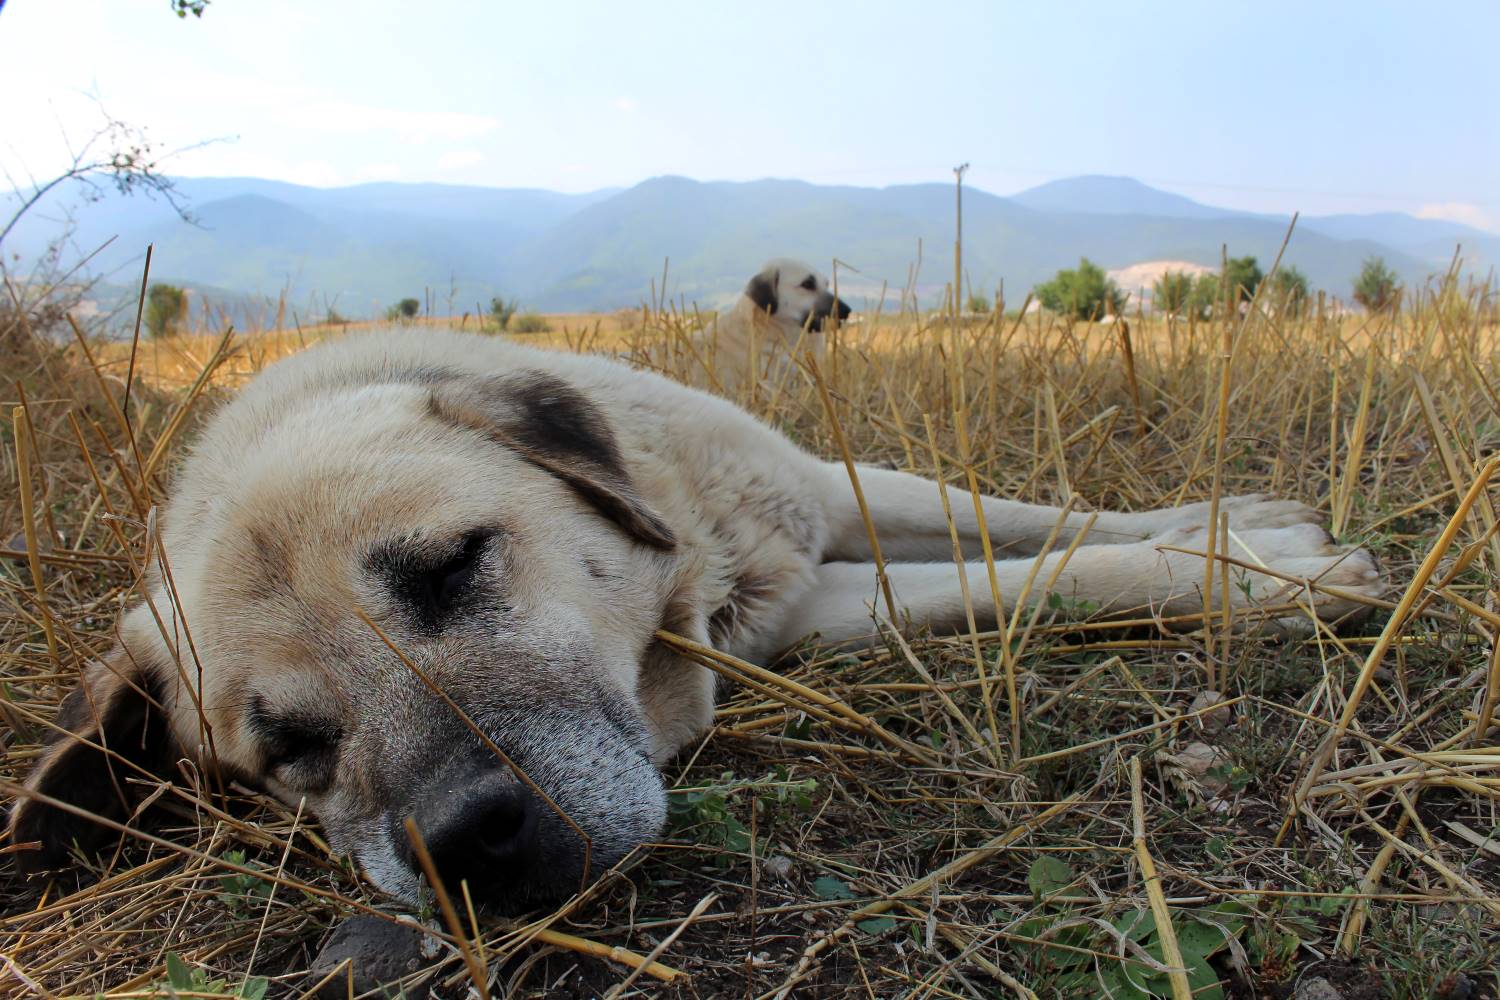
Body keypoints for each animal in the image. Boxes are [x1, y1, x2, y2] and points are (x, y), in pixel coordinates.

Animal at [8, 329, 1380, 905]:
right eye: (287, 749)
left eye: (452, 567)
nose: (466, 846)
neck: (689, 552)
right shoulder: (804, 606)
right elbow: (1044, 576)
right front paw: (1260, 573)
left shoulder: (828, 486)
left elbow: (1036, 518)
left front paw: (1242, 527)